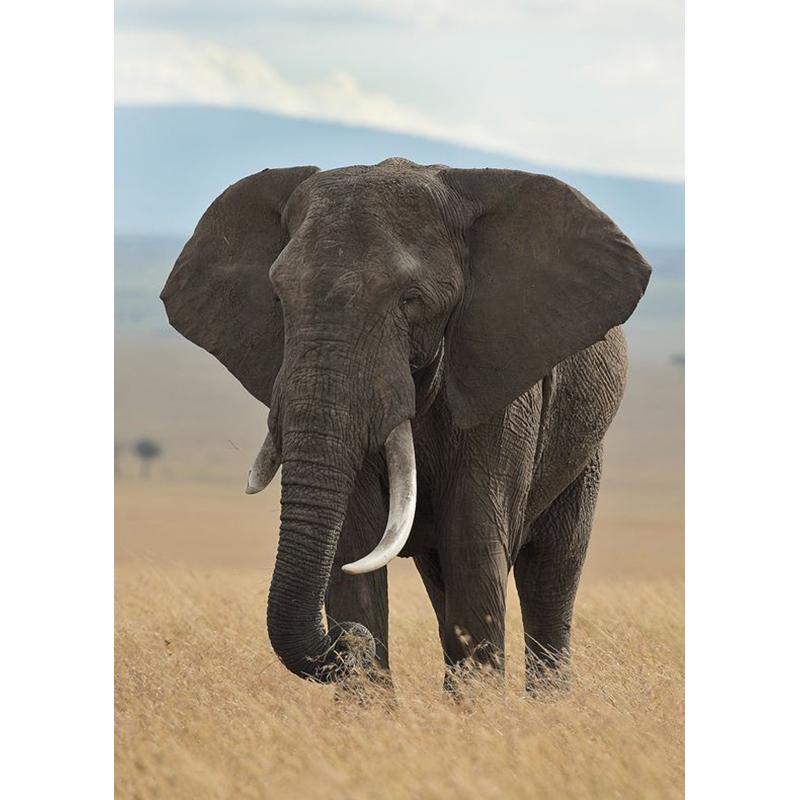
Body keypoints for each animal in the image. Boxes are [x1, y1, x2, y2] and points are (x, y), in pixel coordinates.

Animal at [160, 158, 651, 695]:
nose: (344, 641)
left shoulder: (502, 387)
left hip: (584, 449)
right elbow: (354, 546)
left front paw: (479, 712)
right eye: (278, 298)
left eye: (411, 299)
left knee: (551, 575)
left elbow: (474, 543)